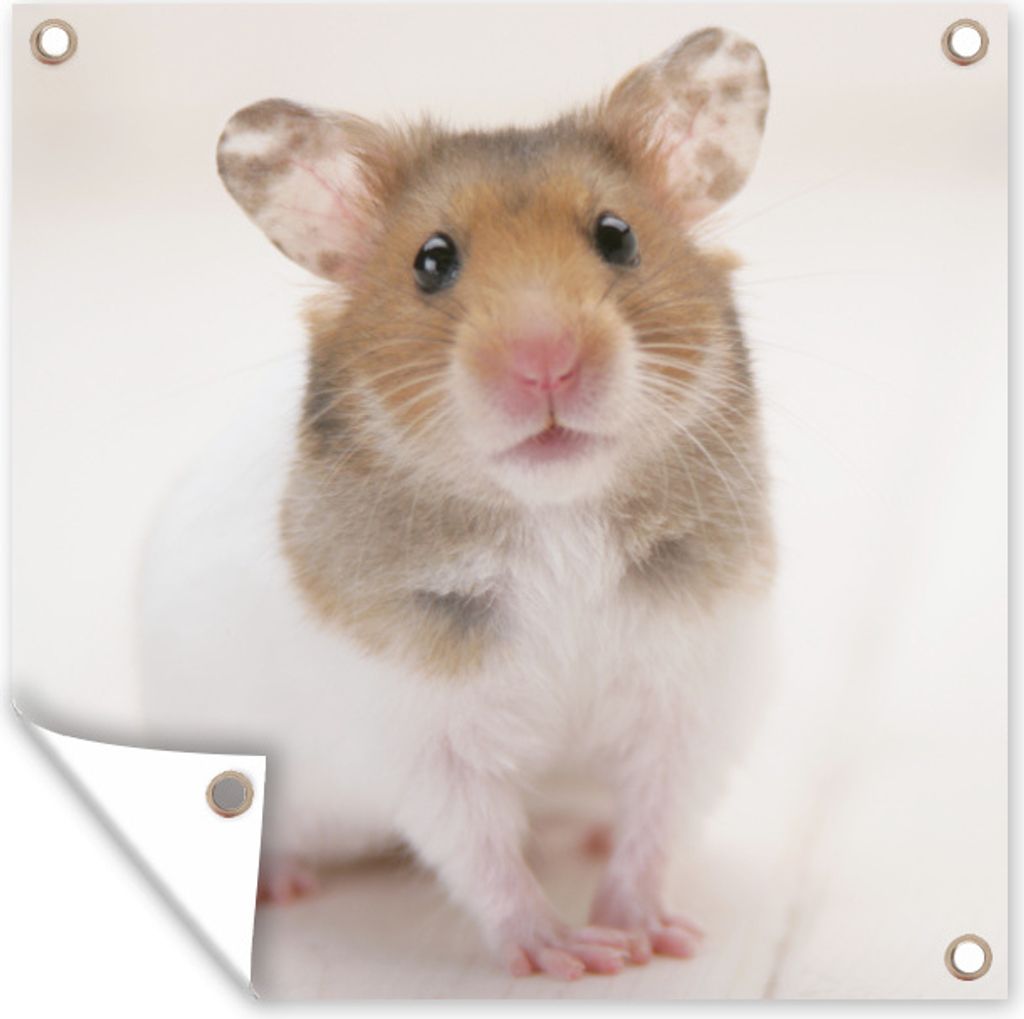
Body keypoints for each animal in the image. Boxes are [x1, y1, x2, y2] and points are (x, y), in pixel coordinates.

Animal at [140, 27, 775, 980]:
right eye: (431, 261)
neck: (556, 517)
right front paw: (571, 955)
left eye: (617, 236)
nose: (546, 361)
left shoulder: (692, 693)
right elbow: (482, 853)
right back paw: (282, 883)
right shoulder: (424, 737)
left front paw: (652, 936)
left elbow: (654, 824)